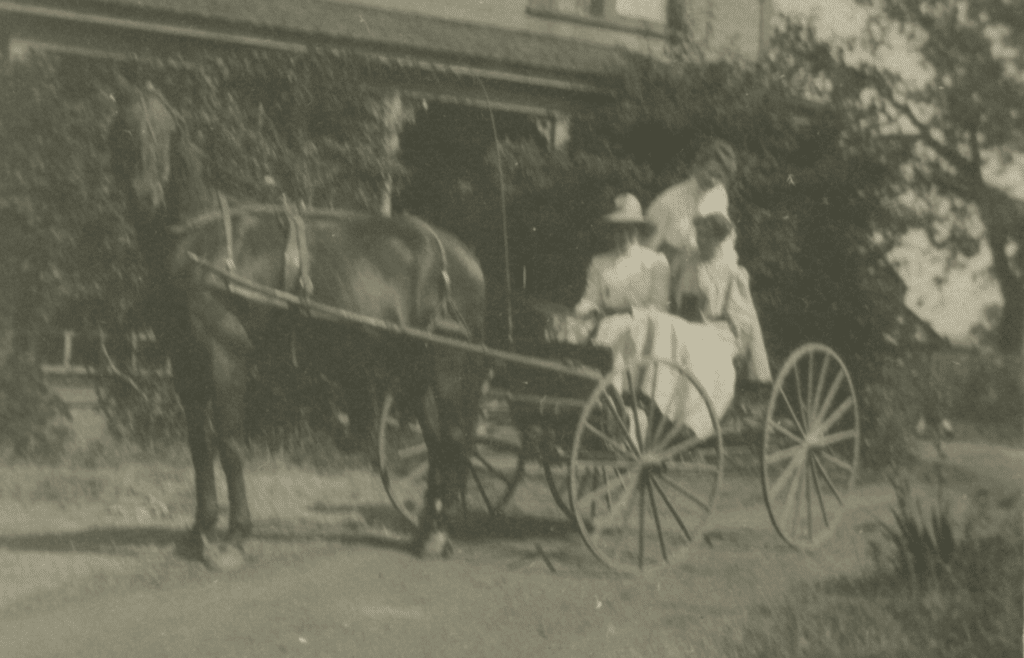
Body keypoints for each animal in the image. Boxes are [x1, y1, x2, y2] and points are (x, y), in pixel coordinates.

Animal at [109, 80, 487, 564]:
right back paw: (427, 533)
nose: (146, 196)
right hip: (415, 368)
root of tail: (463, 256)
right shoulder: (185, 359)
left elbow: (230, 444)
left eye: (168, 133)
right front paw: (199, 531)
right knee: (438, 441)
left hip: (447, 365)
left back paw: (438, 532)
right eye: (124, 128)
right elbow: (198, 445)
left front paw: (235, 536)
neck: (201, 240)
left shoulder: (225, 353)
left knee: (453, 438)